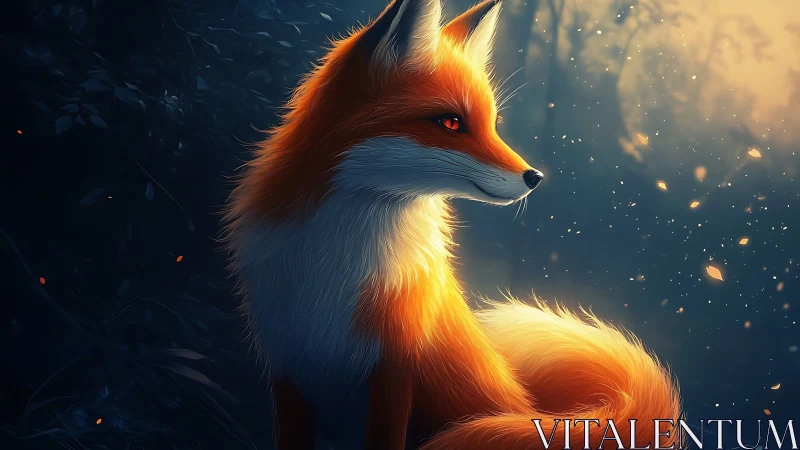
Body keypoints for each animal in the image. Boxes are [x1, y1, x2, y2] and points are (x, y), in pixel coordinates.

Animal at [224, 0, 682, 449]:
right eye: (451, 122)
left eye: (492, 124)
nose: (535, 177)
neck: (335, 267)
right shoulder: (289, 369)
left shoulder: (394, 369)